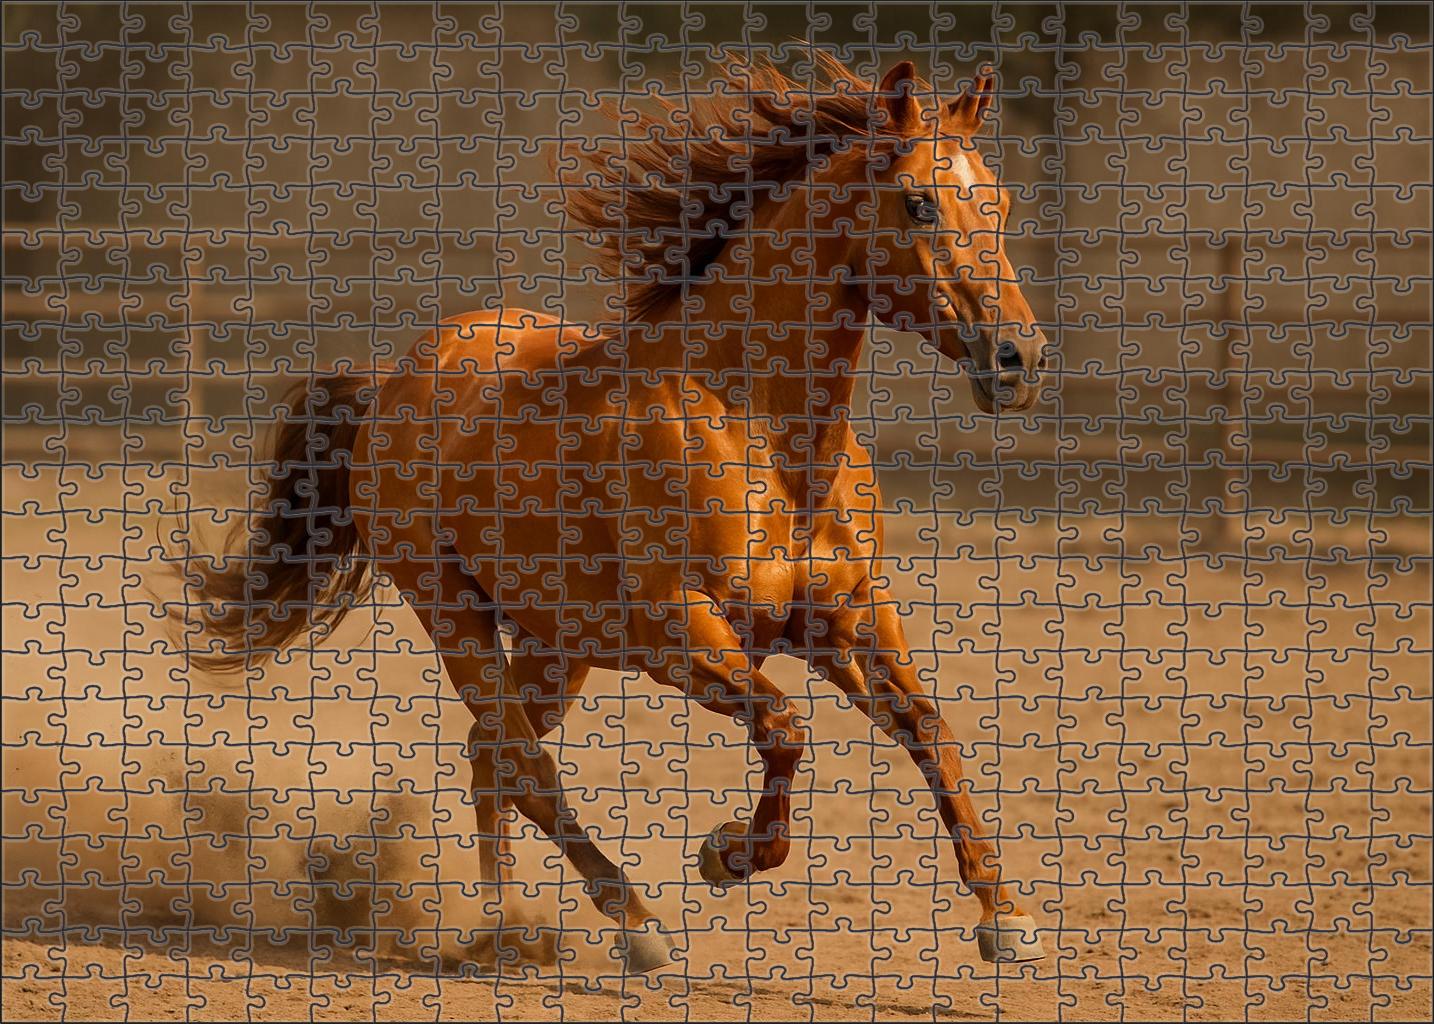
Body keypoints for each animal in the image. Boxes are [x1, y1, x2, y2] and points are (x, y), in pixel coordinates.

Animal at [186, 55, 1051, 973]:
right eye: (919, 201)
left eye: (997, 199)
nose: (1020, 358)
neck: (759, 433)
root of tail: (392, 384)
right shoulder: (680, 634)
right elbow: (785, 727)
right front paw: (725, 854)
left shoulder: (847, 619)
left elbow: (930, 730)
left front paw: (1006, 918)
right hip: (455, 615)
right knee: (523, 762)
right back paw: (623, 923)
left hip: (558, 641)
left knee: (493, 758)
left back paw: (503, 924)